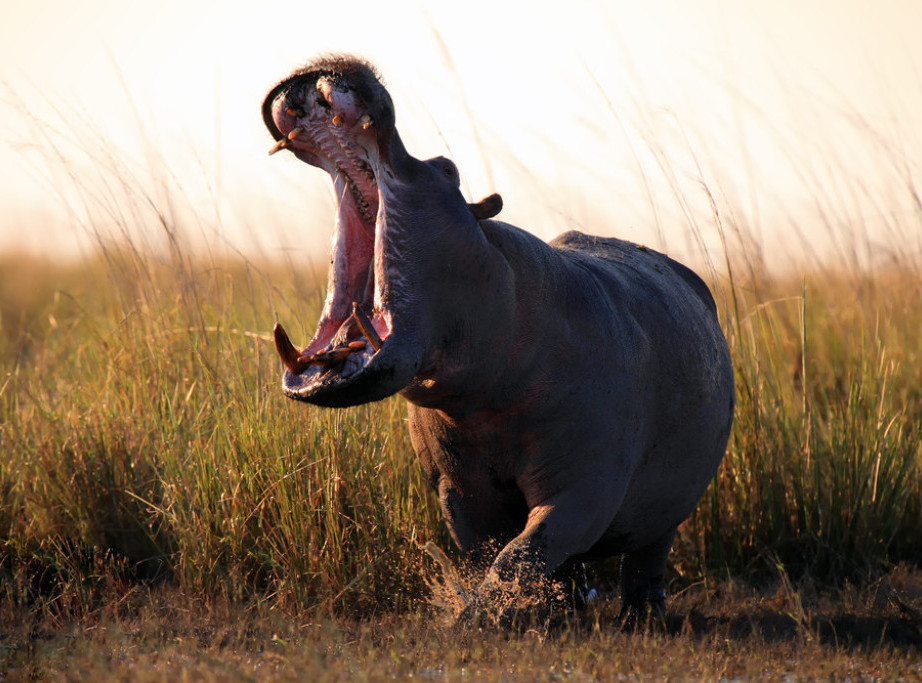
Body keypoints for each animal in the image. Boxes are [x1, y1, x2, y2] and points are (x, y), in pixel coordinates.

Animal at [260, 56, 732, 624]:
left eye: (448, 168)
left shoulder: (586, 487)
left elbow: (523, 551)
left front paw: (476, 620)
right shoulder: (459, 489)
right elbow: (495, 552)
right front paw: (510, 613)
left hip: (667, 511)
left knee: (645, 558)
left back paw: (642, 618)